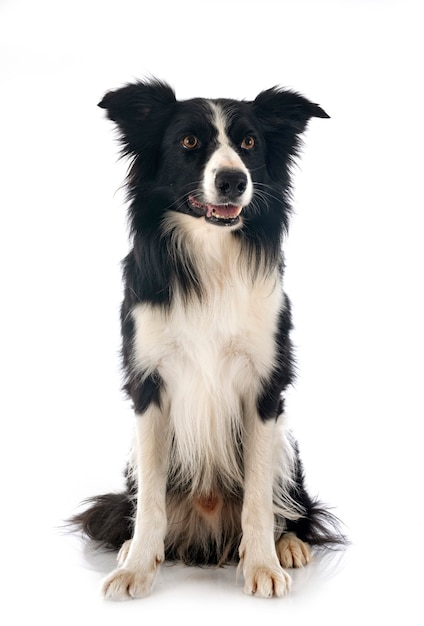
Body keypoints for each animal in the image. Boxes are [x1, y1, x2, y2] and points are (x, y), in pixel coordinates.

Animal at [72, 78, 344, 596]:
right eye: (189, 141)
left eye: (250, 142)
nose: (233, 180)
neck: (211, 255)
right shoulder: (148, 383)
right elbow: (151, 501)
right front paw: (138, 567)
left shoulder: (265, 386)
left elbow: (258, 499)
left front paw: (263, 566)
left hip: (286, 443)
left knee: (290, 507)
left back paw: (289, 544)